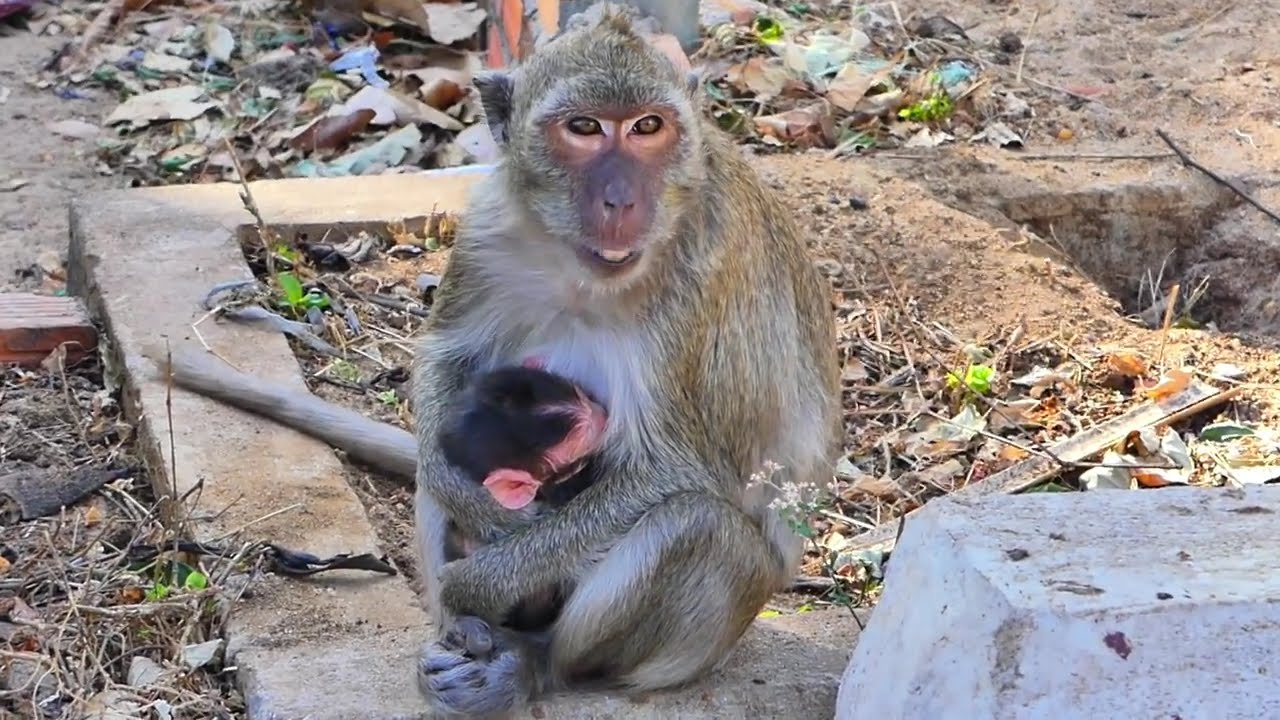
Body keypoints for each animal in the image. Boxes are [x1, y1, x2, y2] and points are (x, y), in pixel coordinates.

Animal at [144, 5, 841, 717]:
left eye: (648, 127)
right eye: (584, 128)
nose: (621, 199)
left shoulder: (702, 274)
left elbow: (678, 470)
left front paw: (472, 584)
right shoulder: (485, 225)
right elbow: (445, 367)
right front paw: (476, 506)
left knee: (695, 525)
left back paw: (533, 663)